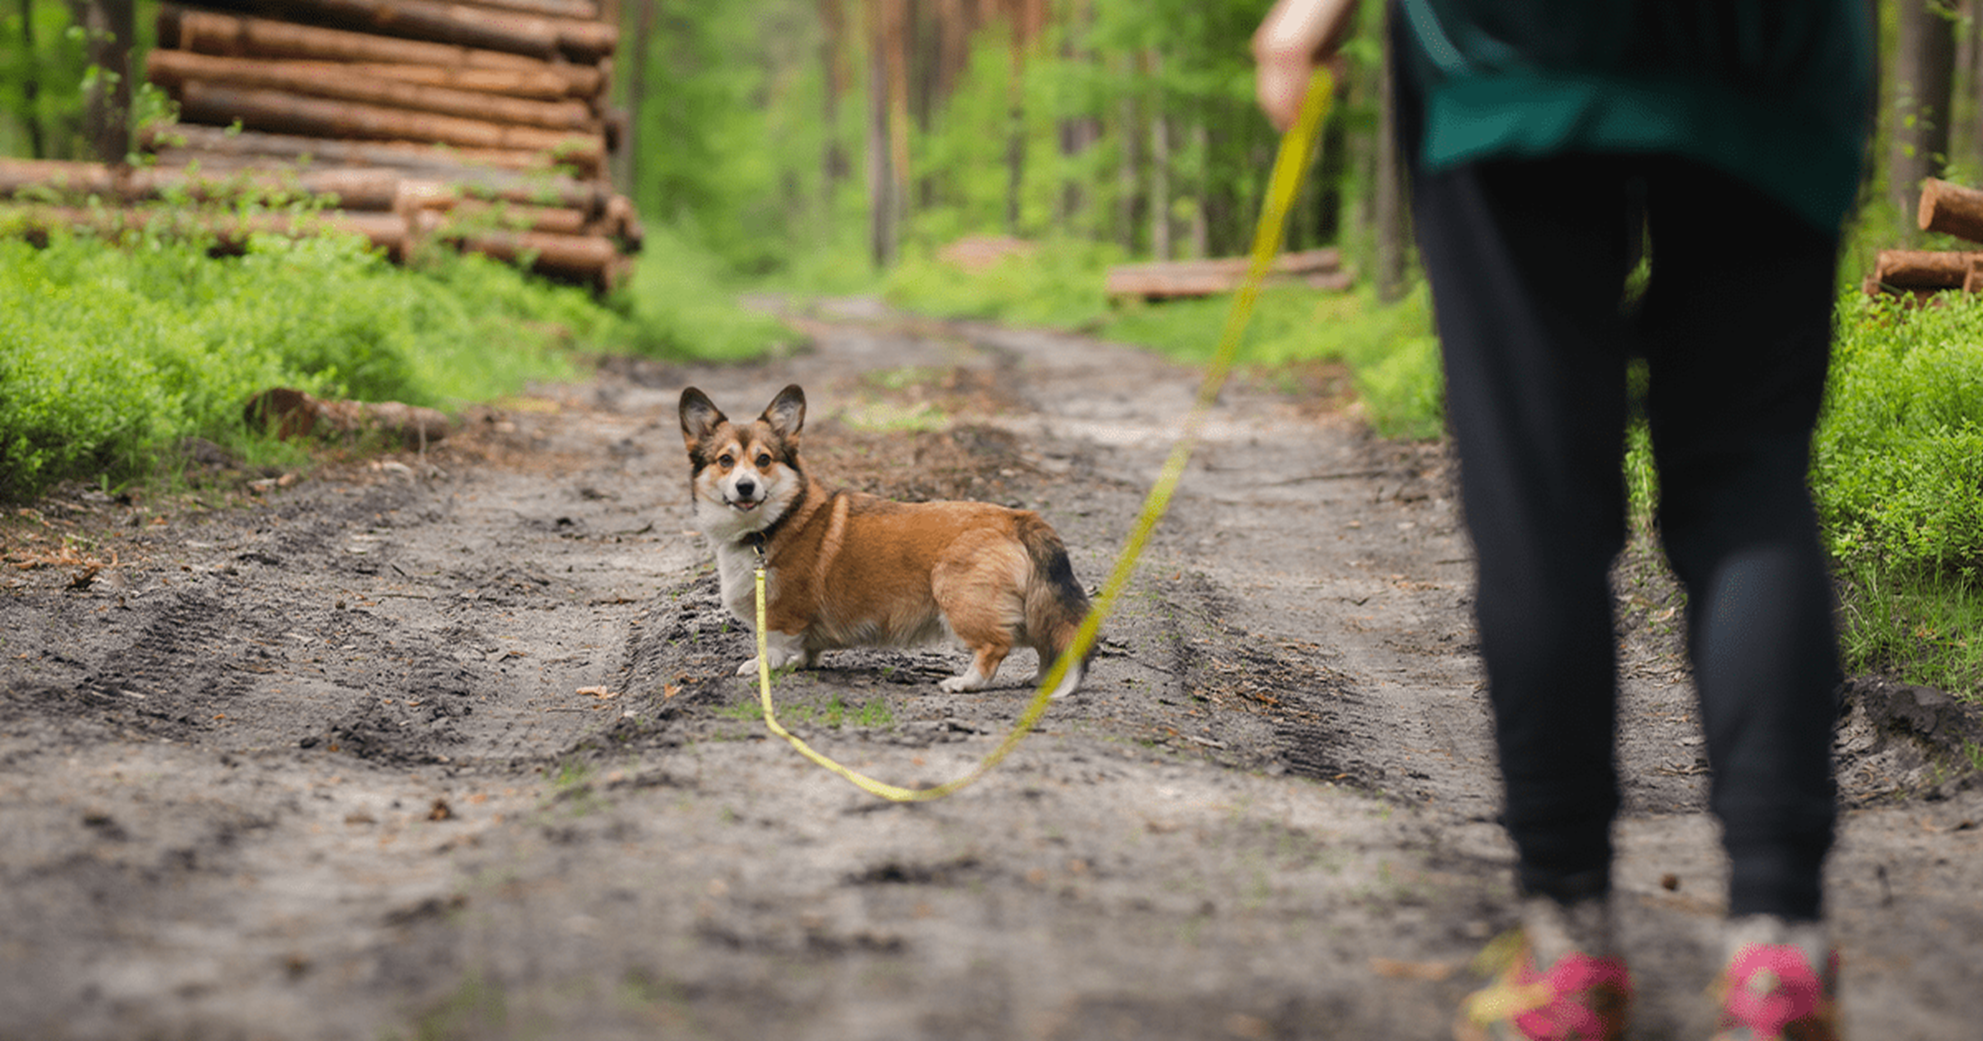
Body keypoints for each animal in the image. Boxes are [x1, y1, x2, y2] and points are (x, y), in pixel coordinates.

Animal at [674, 382, 1094, 697]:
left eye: (763, 460)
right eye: (725, 460)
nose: (745, 487)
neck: (776, 522)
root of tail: (1018, 518)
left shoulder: (784, 613)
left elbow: (774, 644)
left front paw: (762, 666)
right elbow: (807, 649)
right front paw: (801, 663)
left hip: (960, 598)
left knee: (996, 646)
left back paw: (964, 683)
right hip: (1033, 606)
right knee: (1048, 643)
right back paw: (1039, 680)